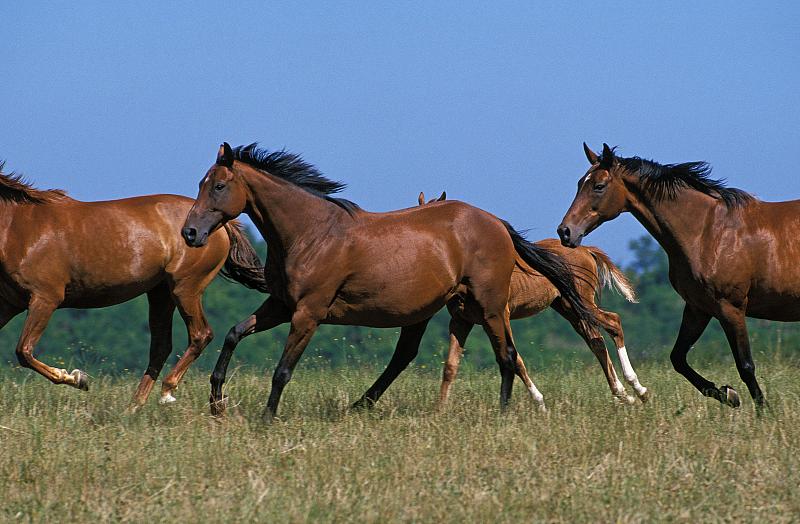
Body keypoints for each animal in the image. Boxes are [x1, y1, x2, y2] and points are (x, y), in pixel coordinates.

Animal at [0, 160, 268, 410]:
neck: (19, 228)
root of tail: (222, 226)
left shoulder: (45, 298)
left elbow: (23, 351)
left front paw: (78, 378)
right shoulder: (10, 303)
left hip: (185, 288)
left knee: (200, 335)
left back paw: (166, 392)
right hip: (161, 293)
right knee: (161, 347)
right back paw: (133, 409)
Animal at [180, 141, 592, 420]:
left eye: (218, 186)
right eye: (201, 182)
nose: (189, 233)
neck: (311, 233)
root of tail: (498, 225)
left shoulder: (308, 313)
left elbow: (282, 370)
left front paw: (266, 420)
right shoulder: (281, 305)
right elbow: (234, 333)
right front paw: (216, 401)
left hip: (488, 306)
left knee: (505, 356)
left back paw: (502, 415)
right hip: (430, 311)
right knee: (407, 357)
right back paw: (359, 405)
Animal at [416, 190, 648, 408]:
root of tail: (586, 250)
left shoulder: (499, 316)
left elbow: (515, 359)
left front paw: (539, 402)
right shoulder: (463, 321)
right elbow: (451, 366)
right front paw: (440, 410)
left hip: (582, 303)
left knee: (613, 322)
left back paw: (637, 389)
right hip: (568, 308)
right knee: (596, 342)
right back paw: (623, 394)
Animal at [560, 142, 800, 410]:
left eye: (599, 186)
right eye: (580, 183)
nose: (565, 232)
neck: (707, 232)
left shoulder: (731, 308)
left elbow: (746, 366)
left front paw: (762, 412)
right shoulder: (698, 308)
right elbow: (678, 359)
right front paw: (727, 394)